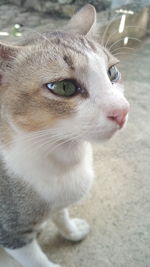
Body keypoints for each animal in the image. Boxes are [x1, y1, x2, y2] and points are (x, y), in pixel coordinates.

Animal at [0, 4, 129, 267]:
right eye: (63, 87)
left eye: (112, 72)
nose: (122, 111)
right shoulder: (11, 232)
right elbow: (37, 261)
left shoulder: (58, 202)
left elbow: (61, 214)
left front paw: (72, 231)